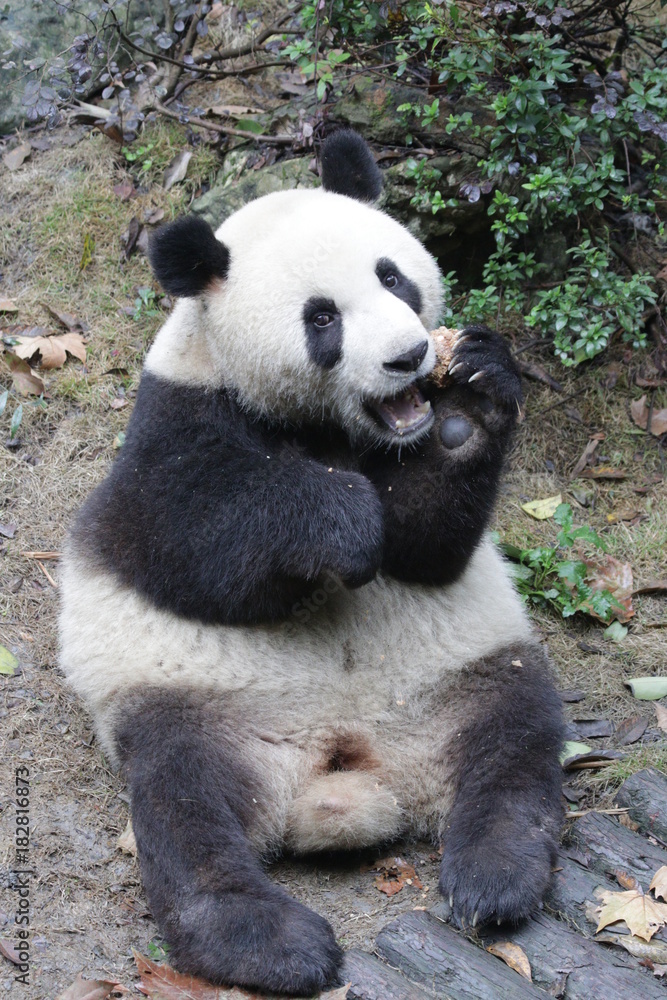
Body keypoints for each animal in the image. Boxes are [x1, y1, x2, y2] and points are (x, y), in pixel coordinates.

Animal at [59, 130, 564, 995]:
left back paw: (495, 874)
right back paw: (266, 941)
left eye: (391, 276)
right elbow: (189, 540)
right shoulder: (169, 429)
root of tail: (354, 766)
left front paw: (468, 408)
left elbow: (428, 551)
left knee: (514, 740)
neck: (331, 430)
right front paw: (341, 522)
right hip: (199, 709)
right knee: (183, 806)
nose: (406, 358)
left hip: (464, 670)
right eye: (321, 318)